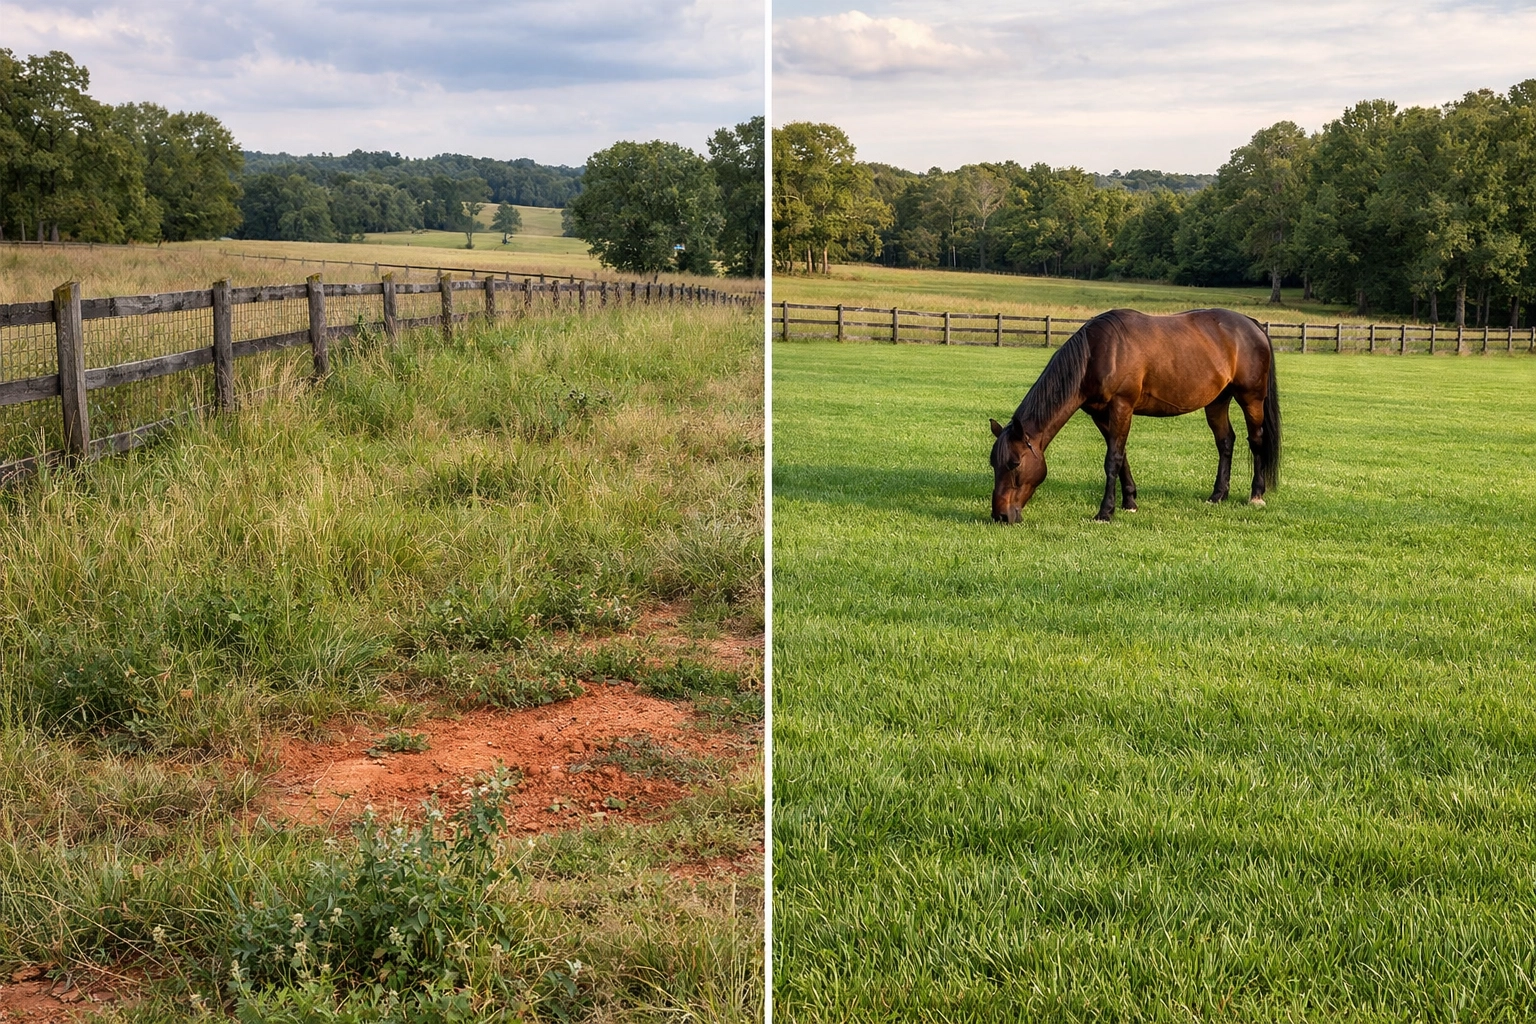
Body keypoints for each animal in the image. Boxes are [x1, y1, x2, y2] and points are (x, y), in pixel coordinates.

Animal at [988, 308, 1281, 523]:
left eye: (1014, 464)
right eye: (993, 464)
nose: (1000, 515)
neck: (1097, 353)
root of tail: (1252, 325)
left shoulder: (1122, 406)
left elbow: (1112, 459)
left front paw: (1105, 512)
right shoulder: (1100, 414)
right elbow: (1121, 456)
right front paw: (1129, 502)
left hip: (1251, 398)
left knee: (1256, 441)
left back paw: (1256, 495)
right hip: (1218, 401)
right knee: (1225, 442)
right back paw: (1218, 494)